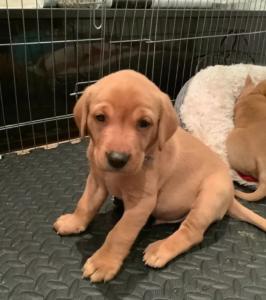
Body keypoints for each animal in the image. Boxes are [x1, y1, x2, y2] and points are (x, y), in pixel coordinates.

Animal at [53, 69, 266, 282]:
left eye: (144, 123)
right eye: (100, 117)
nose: (117, 159)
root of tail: (231, 199)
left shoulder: (141, 203)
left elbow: (120, 232)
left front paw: (104, 262)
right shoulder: (96, 181)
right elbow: (85, 204)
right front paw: (74, 222)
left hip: (210, 195)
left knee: (192, 232)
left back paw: (161, 249)